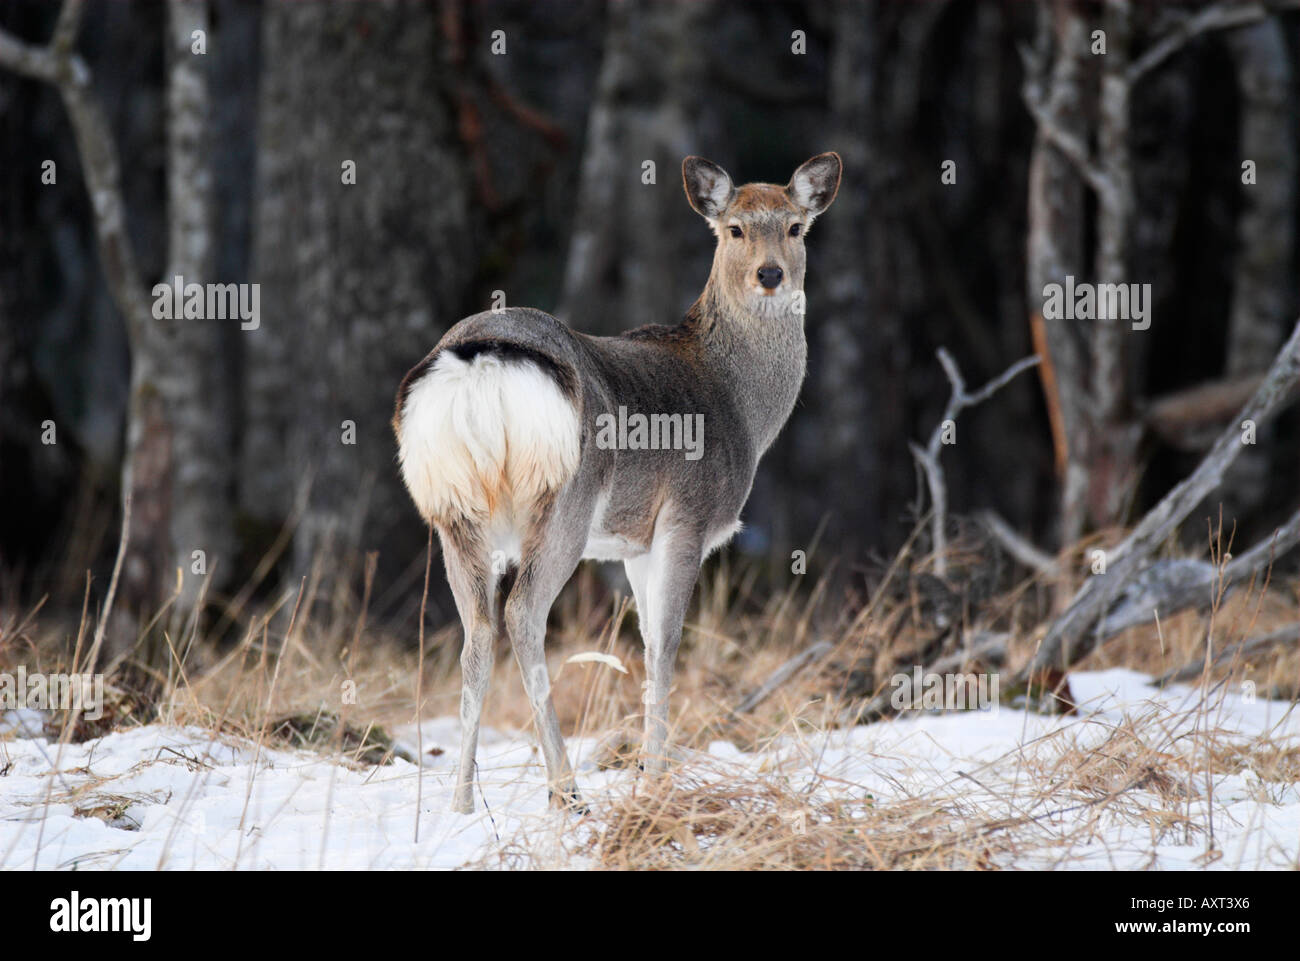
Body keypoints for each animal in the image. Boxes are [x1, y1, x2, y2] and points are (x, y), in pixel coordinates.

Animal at [390, 150, 842, 811]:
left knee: (477, 632)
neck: (741, 406)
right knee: (523, 613)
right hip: (567, 497)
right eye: (734, 228)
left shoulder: (633, 541)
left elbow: (649, 641)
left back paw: (462, 805)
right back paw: (566, 789)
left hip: (453, 507)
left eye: (795, 228)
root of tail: (481, 362)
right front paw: (656, 779)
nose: (770, 275)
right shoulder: (687, 514)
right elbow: (667, 645)